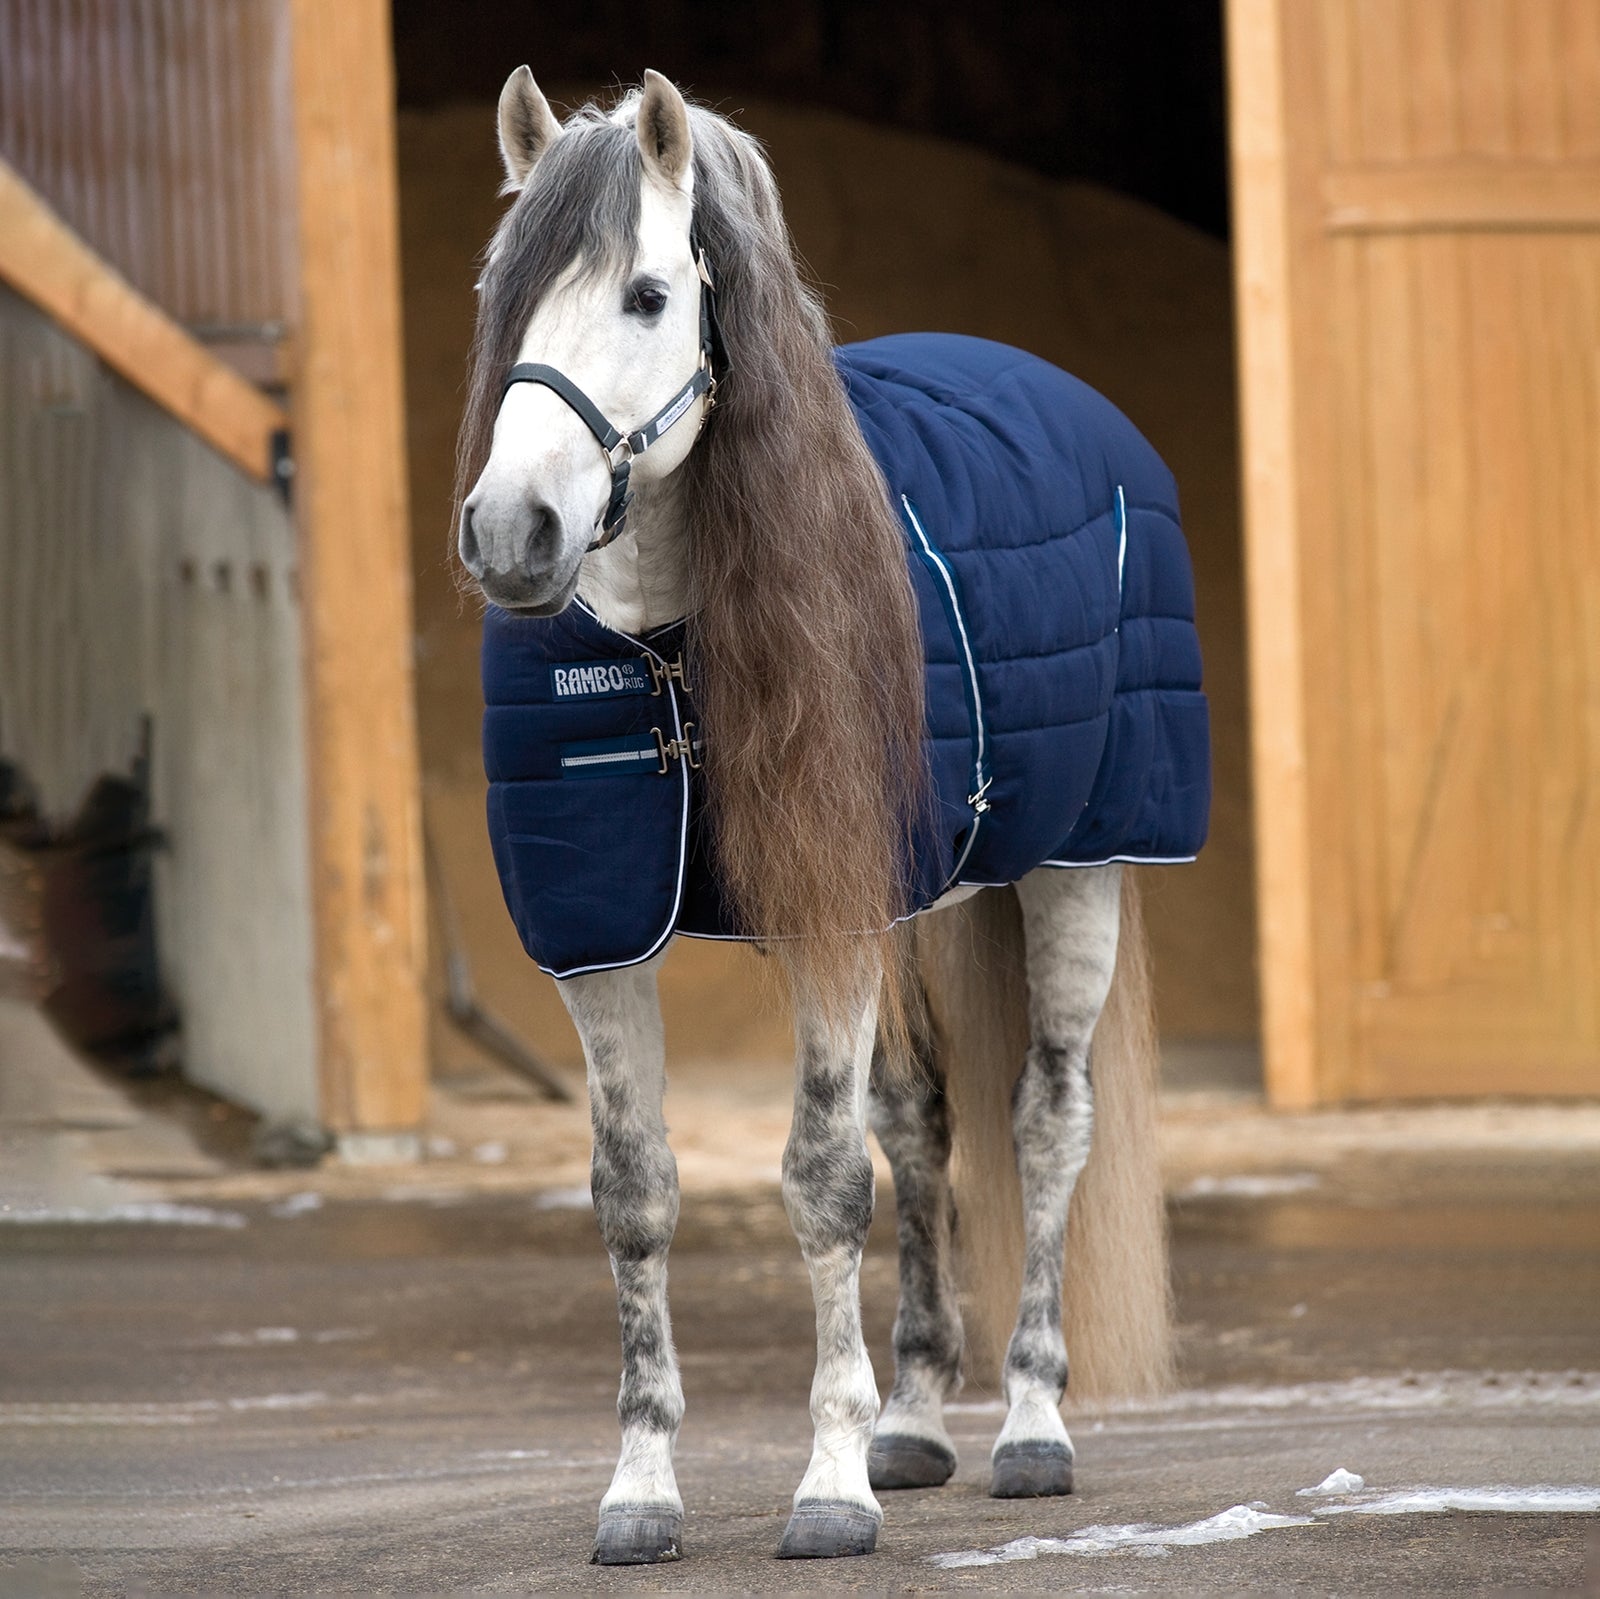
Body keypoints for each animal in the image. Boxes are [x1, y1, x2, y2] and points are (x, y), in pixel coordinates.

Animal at [454, 69, 1209, 1565]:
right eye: (500, 295)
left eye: (645, 295)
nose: (513, 532)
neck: (669, 649)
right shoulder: (601, 936)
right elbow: (638, 1193)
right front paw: (644, 1486)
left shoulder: (834, 920)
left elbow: (820, 1178)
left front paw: (828, 1484)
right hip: (923, 902)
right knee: (922, 1125)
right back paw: (917, 1417)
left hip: (1073, 872)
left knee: (1046, 1122)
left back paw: (1030, 1424)